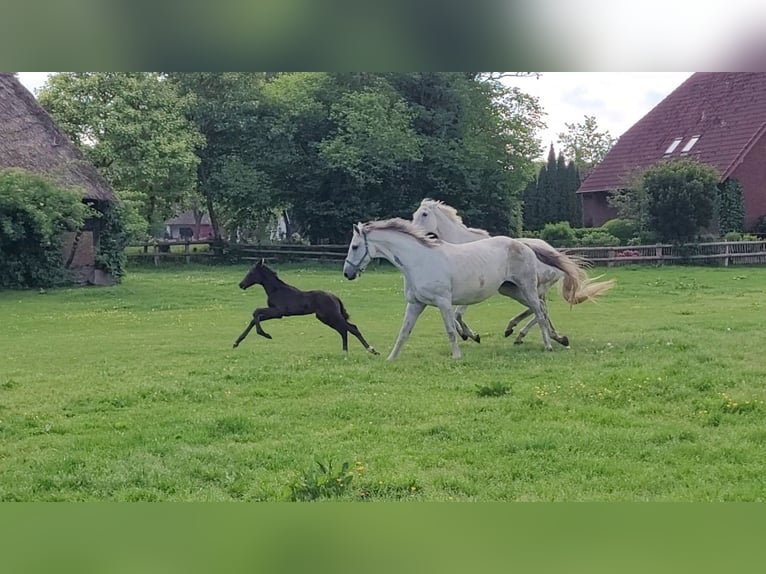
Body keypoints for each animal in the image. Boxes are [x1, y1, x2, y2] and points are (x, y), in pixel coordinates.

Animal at [232, 260, 380, 356]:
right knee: (344, 330)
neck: (276, 290)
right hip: (326, 318)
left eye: (251, 273)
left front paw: (266, 335)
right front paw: (236, 342)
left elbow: (256, 312)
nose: (241, 285)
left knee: (351, 328)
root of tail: (335, 297)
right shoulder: (276, 313)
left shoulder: (279, 312)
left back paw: (372, 350)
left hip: (331, 316)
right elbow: (255, 318)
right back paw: (345, 352)